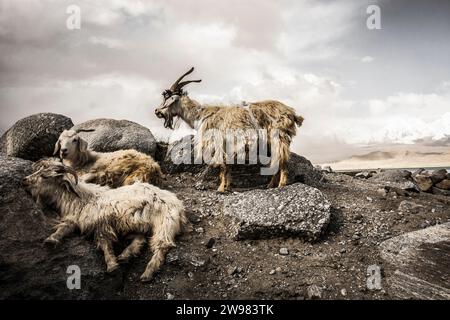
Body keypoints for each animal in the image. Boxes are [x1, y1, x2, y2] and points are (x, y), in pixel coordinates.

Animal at [23, 162, 185, 282]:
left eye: (44, 176)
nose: (25, 180)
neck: (82, 198)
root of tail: (178, 204)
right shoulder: (75, 218)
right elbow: (64, 227)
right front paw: (51, 239)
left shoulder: (102, 224)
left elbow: (105, 244)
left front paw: (112, 266)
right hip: (134, 224)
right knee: (141, 239)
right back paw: (125, 255)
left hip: (164, 222)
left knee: (162, 245)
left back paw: (147, 273)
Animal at [155, 67, 306, 192]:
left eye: (168, 98)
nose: (157, 111)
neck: (201, 115)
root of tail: (291, 113)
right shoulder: (227, 144)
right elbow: (227, 166)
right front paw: (227, 186)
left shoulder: (216, 141)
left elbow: (221, 166)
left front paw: (220, 188)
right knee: (276, 159)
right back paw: (270, 185)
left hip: (278, 136)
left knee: (282, 158)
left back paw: (281, 184)